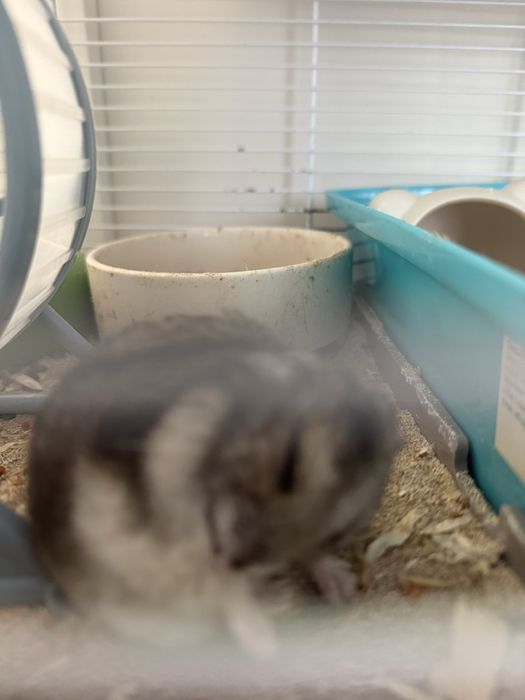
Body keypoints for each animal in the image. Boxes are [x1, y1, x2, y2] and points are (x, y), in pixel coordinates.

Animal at [28, 314, 398, 647]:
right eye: (288, 464)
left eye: (336, 533)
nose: (234, 560)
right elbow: (224, 593)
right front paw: (266, 646)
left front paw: (342, 587)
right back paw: (275, 607)